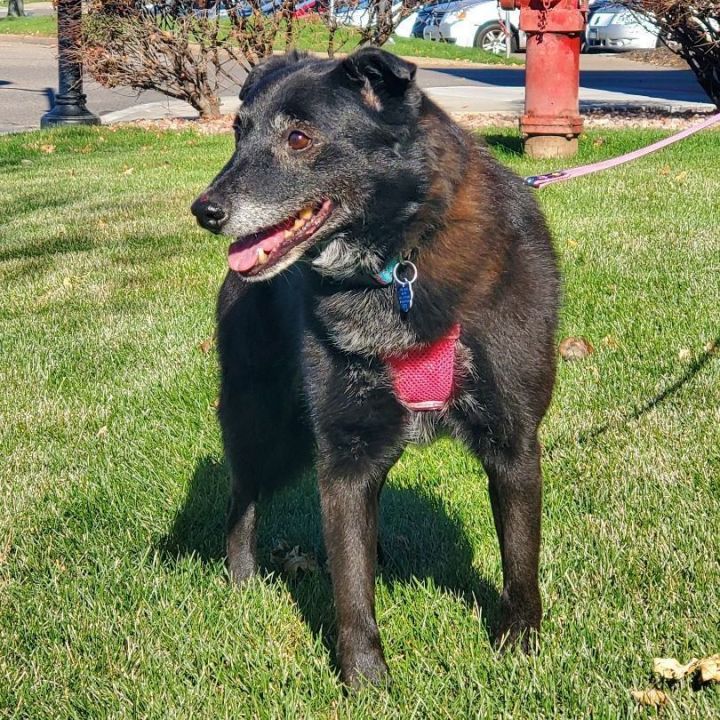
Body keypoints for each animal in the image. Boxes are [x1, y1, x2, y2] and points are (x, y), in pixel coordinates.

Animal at [190, 47, 556, 688]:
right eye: (239, 132)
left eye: (300, 137)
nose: (205, 211)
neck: (398, 264)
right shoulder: (345, 453)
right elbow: (350, 587)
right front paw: (365, 679)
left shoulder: (514, 444)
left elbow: (519, 556)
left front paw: (519, 645)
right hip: (267, 427)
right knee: (242, 500)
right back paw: (242, 580)